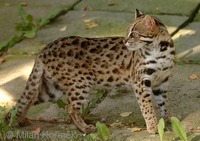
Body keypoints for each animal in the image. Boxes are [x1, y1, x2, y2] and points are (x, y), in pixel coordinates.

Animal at [4, 9, 173, 134]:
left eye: (134, 34)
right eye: (127, 33)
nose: (125, 41)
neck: (161, 50)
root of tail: (43, 49)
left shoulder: (162, 81)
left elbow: (164, 103)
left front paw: (169, 120)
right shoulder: (140, 81)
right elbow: (147, 106)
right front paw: (153, 127)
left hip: (52, 89)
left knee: (30, 98)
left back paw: (20, 120)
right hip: (81, 83)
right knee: (69, 107)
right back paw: (84, 128)